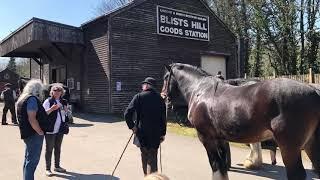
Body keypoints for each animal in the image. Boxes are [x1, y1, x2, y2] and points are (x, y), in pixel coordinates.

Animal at [161, 62, 320, 179]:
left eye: (166, 77)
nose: (163, 96)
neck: (201, 90)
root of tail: (314, 90)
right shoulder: (220, 139)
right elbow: (222, 165)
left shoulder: (206, 138)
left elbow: (215, 165)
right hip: (310, 144)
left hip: (290, 147)